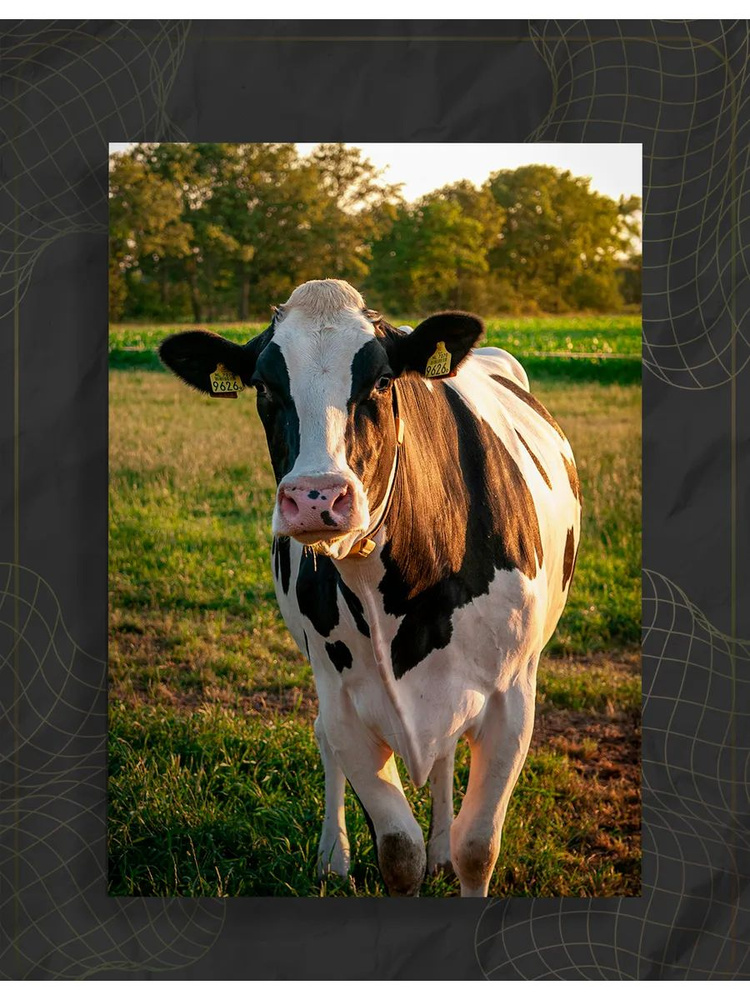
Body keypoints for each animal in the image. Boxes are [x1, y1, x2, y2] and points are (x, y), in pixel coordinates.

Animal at [159, 278, 581, 897]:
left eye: (382, 380)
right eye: (264, 385)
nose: (315, 497)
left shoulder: (512, 698)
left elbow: (478, 848)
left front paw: (451, 852)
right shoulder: (346, 703)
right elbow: (398, 853)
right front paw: (376, 854)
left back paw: (441, 847)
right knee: (324, 739)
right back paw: (333, 855)